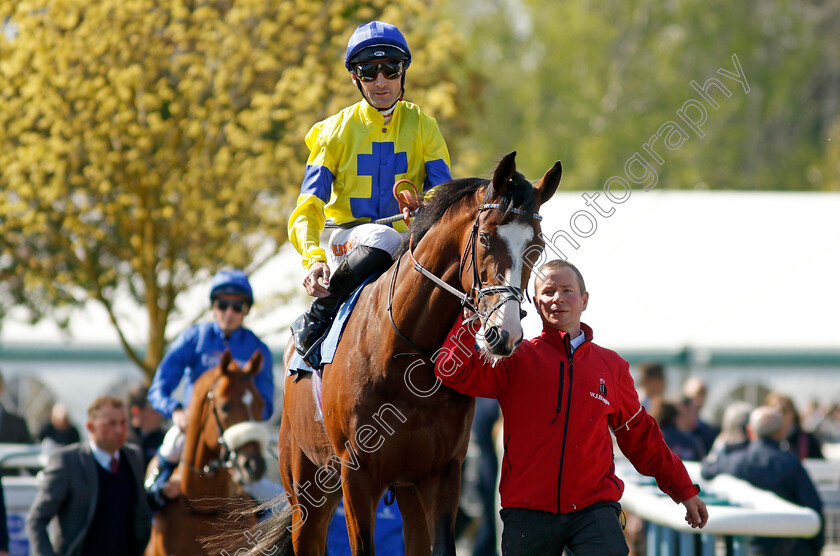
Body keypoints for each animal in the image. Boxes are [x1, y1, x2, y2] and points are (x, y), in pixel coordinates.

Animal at [253, 151, 560, 556]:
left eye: (536, 247)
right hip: (306, 488)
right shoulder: (357, 476)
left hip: (406, 491)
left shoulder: (442, 473)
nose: (503, 333)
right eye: (485, 236)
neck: (403, 358)